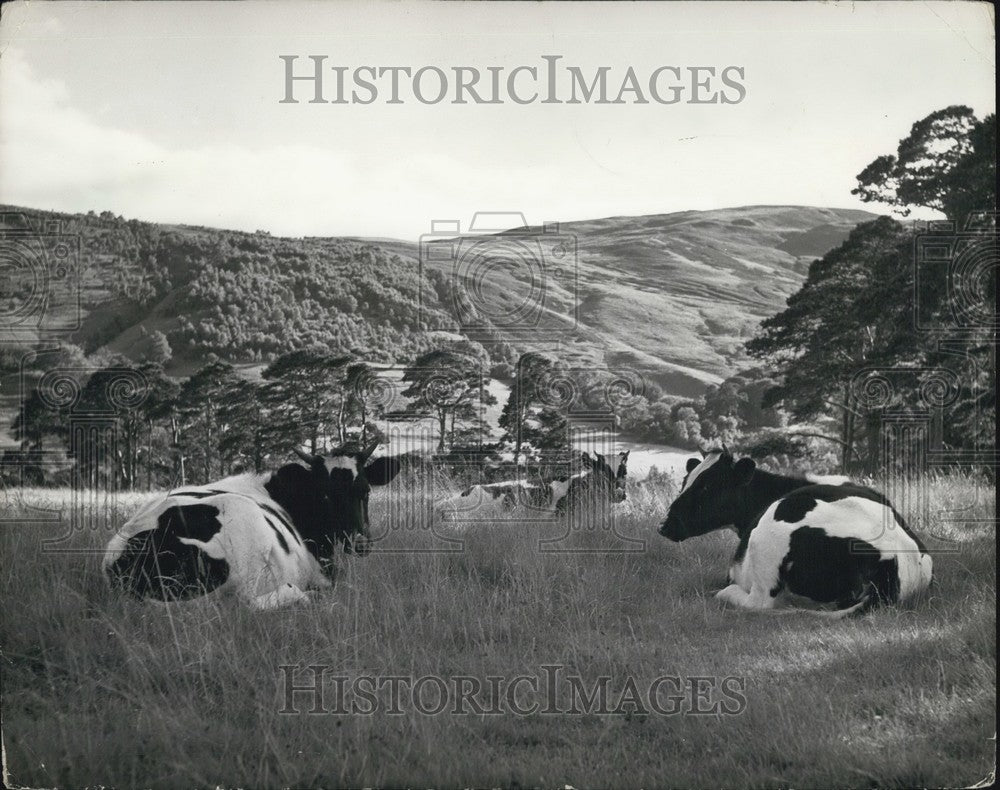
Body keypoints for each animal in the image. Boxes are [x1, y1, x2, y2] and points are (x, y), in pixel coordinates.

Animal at [660, 452, 932, 620]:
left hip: (766, 541)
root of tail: (894, 559)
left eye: (707, 487)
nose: (664, 525)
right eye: (685, 481)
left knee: (755, 601)